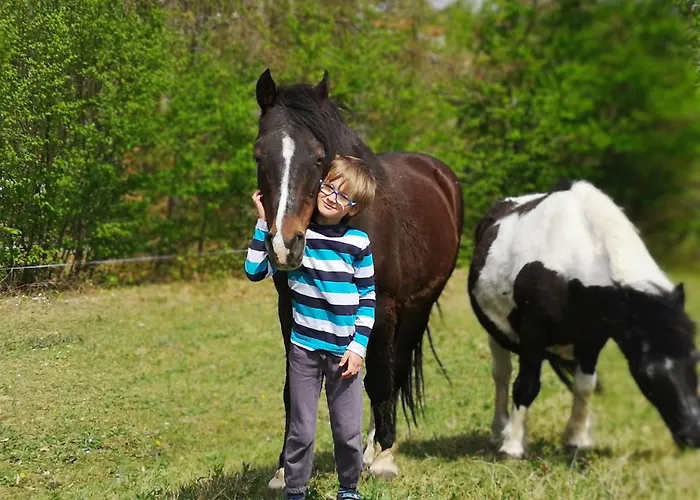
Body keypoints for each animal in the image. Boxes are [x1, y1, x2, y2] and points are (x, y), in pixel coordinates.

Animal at [253, 69, 463, 487]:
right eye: (258, 155)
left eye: (319, 157)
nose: (284, 244)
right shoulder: (289, 309)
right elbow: (292, 390)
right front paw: (285, 469)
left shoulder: (381, 309)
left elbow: (380, 378)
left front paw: (382, 458)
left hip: (417, 307)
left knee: (394, 370)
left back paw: (375, 451)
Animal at [468, 179, 700, 458]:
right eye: (650, 371)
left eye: (695, 358)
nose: (693, 434)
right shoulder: (532, 334)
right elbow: (525, 386)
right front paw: (511, 446)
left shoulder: (592, 339)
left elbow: (584, 385)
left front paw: (577, 440)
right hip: (496, 333)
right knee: (501, 376)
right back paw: (498, 431)